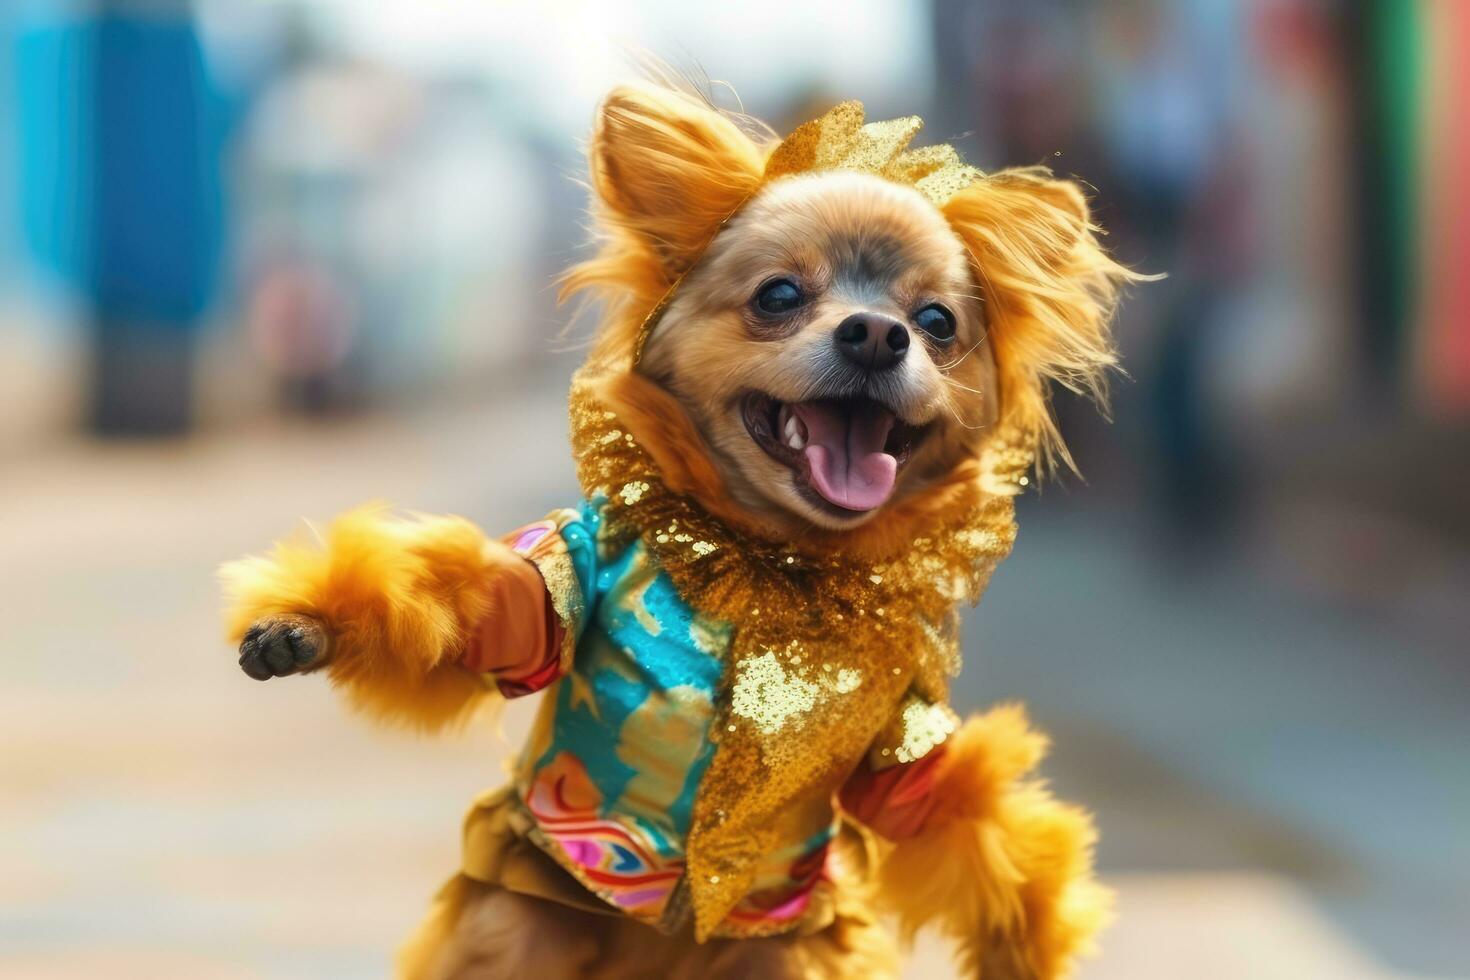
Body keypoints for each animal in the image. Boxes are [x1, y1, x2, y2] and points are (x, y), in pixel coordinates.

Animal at [223, 86, 1140, 980]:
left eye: (939, 322)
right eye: (778, 296)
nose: (879, 334)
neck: (775, 567)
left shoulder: (900, 730)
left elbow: (946, 808)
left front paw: (1022, 935)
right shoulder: (566, 577)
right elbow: (492, 609)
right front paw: (310, 622)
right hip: (517, 931)